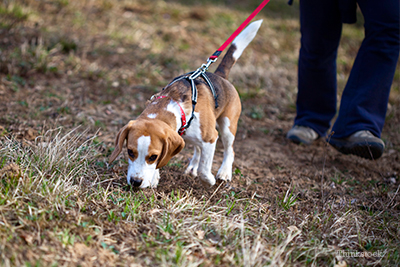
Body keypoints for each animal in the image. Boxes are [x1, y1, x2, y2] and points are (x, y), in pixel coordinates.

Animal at [108, 20, 262, 188]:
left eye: (153, 157)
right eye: (130, 152)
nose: (135, 182)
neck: (173, 103)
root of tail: (220, 76)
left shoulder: (211, 138)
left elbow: (204, 168)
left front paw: (208, 180)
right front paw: (154, 178)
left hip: (228, 127)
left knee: (229, 150)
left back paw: (224, 172)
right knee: (198, 150)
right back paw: (193, 166)